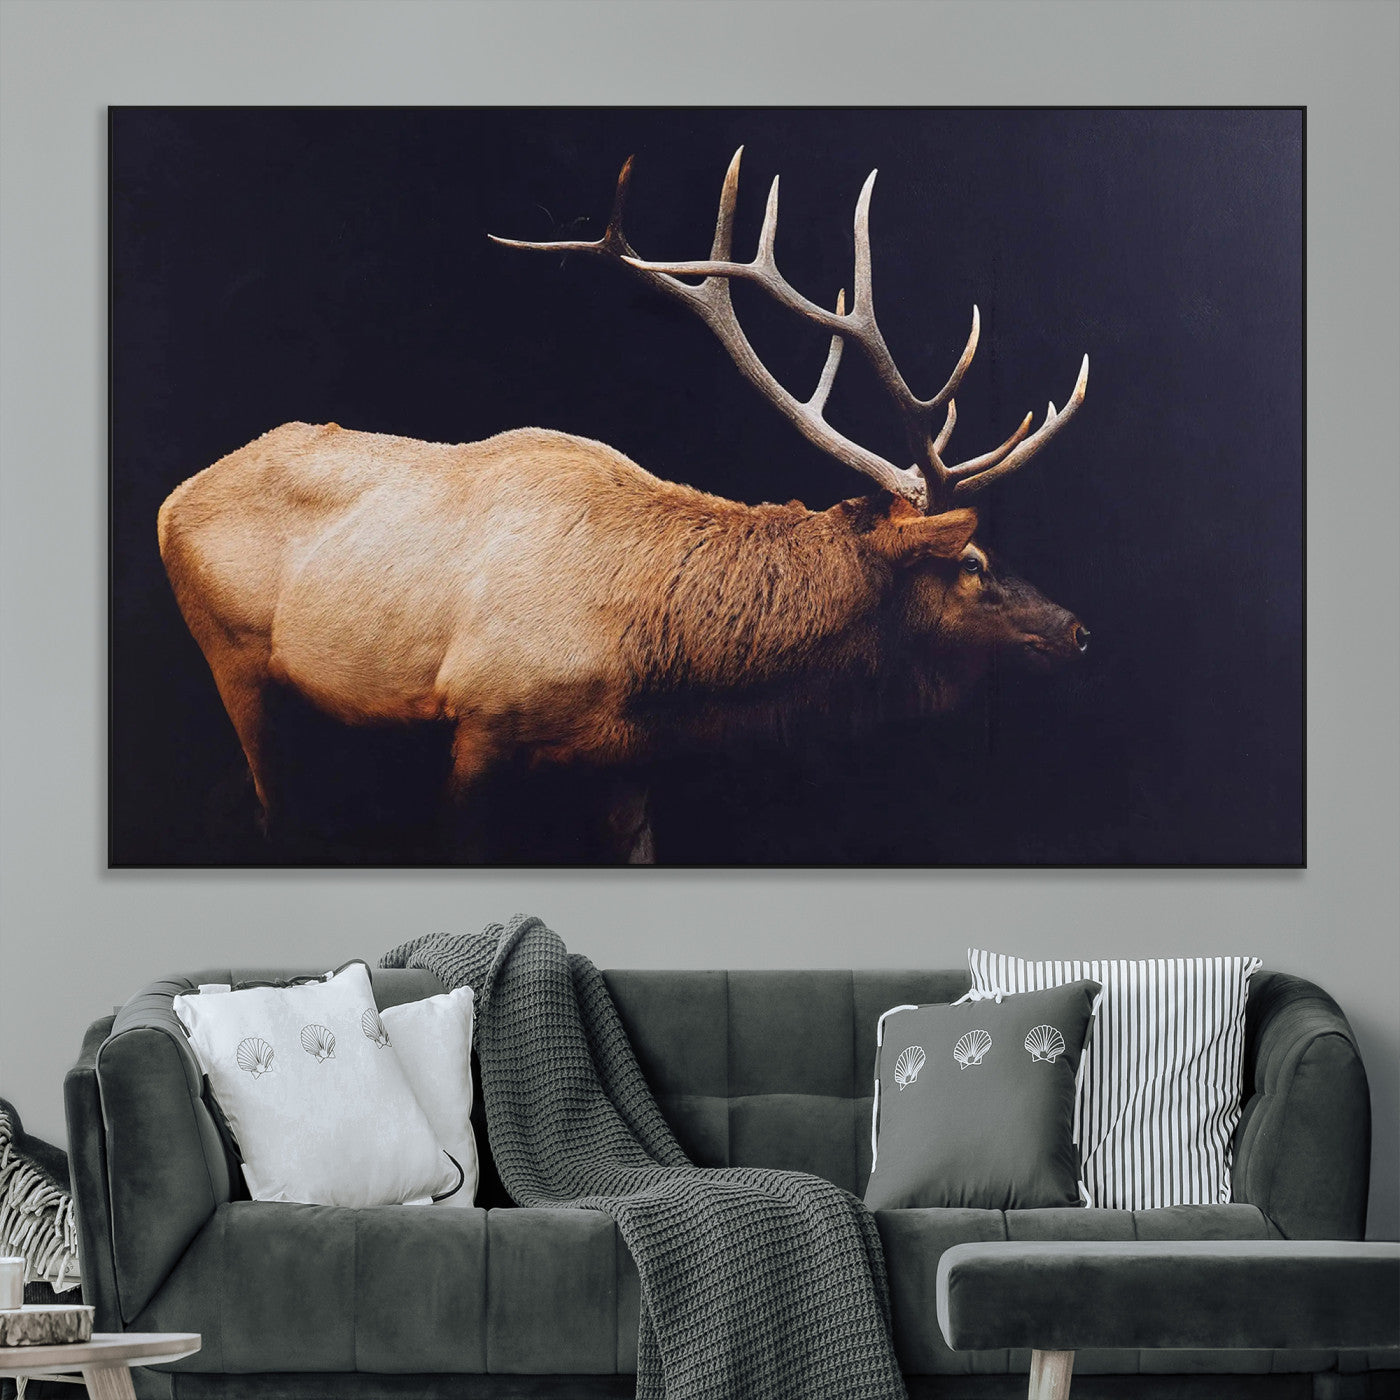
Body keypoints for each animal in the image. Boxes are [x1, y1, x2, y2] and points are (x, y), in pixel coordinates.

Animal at [157, 148, 1090, 864]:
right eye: (973, 563)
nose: (1079, 630)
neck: (648, 658)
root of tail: (171, 499)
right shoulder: (479, 717)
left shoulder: (628, 764)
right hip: (232, 657)